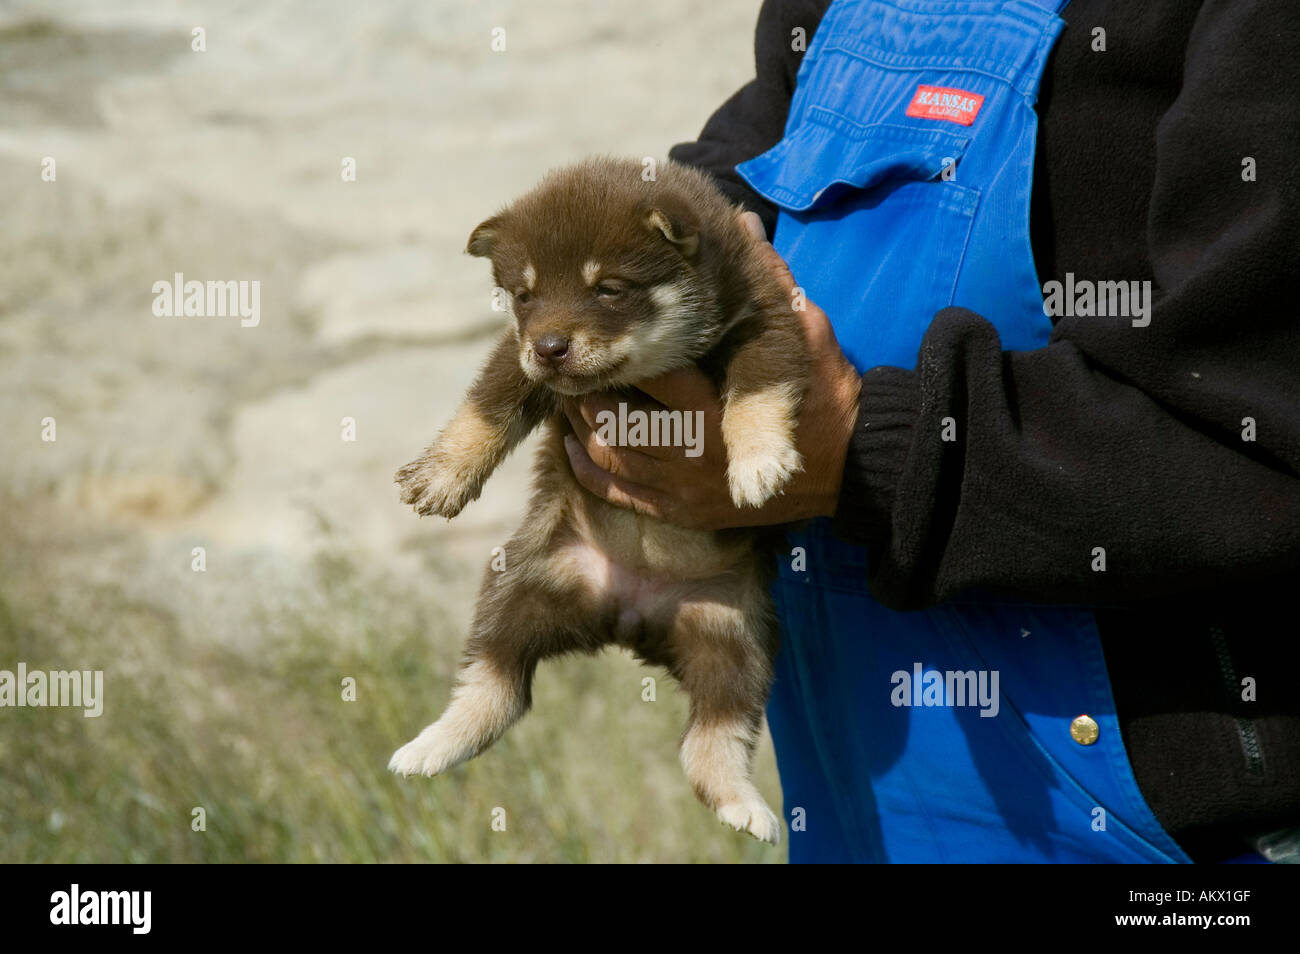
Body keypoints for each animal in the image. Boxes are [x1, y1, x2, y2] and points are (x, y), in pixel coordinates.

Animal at [390, 157, 806, 842]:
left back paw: (744, 807)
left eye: (608, 288)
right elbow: (487, 406)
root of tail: (629, 615)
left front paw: (758, 462)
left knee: (715, 733)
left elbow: (758, 389)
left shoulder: (768, 321)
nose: (552, 347)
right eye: (524, 294)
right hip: (520, 586)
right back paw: (434, 746)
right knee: (495, 681)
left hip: (735, 637)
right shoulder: (517, 353)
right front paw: (443, 474)